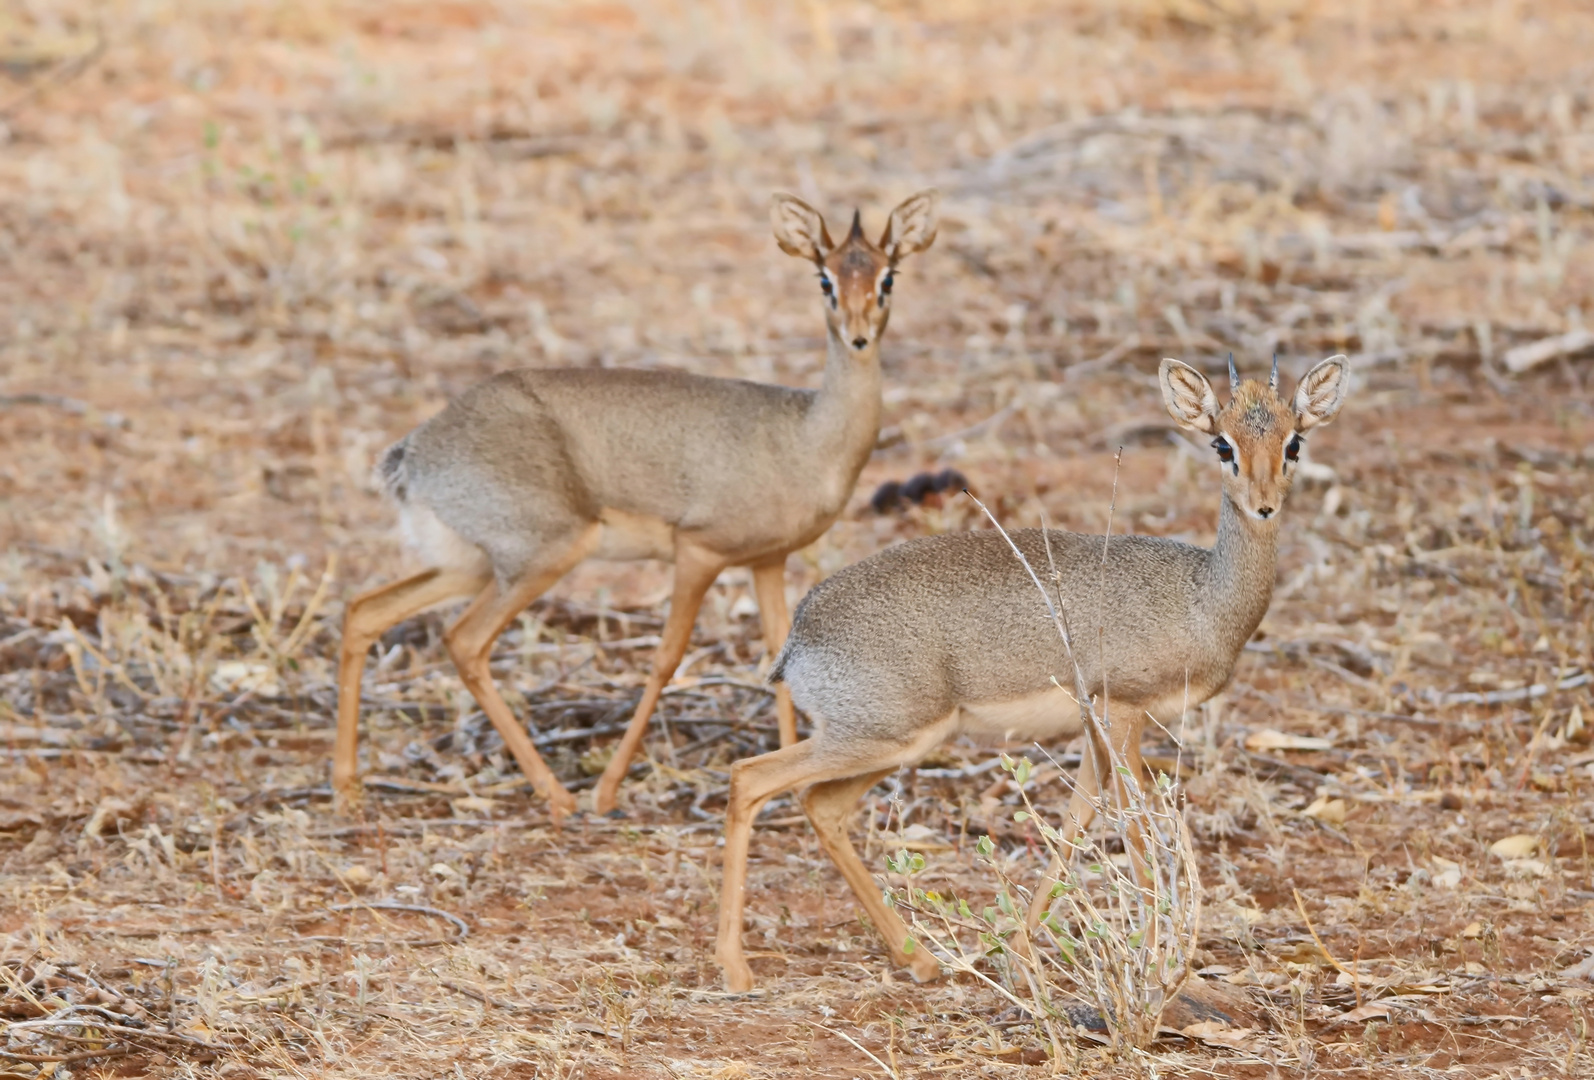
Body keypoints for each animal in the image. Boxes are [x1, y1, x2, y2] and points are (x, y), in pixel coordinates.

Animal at [334, 192, 930, 821]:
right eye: (825, 278)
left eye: (887, 276)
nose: (859, 336)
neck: (808, 437)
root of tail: (415, 449)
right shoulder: (698, 551)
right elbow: (667, 657)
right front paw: (607, 789)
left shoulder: (768, 562)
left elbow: (775, 657)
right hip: (542, 558)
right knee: (465, 642)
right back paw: (556, 794)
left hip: (472, 567)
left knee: (366, 610)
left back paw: (347, 787)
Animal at [717, 353, 1351, 987]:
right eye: (1222, 444)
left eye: (1294, 442)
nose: (1264, 505)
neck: (1201, 599)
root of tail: (798, 637)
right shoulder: (1122, 712)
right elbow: (1136, 827)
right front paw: (1153, 963)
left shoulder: (1099, 728)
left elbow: (1076, 821)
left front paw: (1021, 955)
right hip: (879, 737)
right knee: (749, 779)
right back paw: (735, 970)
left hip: (892, 745)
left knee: (819, 806)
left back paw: (918, 959)